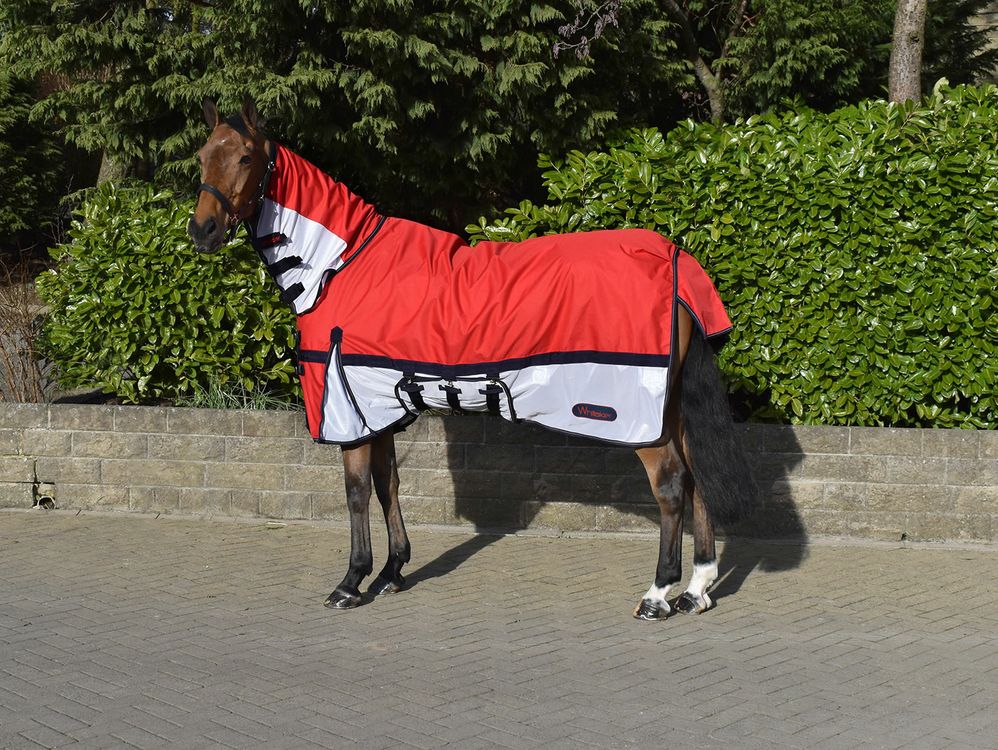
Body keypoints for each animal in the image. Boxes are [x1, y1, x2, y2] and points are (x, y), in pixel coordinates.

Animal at [188, 98, 758, 620]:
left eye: (244, 157)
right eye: (201, 156)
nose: (202, 231)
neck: (339, 264)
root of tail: (673, 258)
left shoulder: (347, 409)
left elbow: (355, 493)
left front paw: (351, 582)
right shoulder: (379, 406)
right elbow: (387, 485)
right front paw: (393, 571)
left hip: (642, 420)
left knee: (672, 486)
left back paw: (657, 594)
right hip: (672, 406)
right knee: (697, 479)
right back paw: (696, 590)